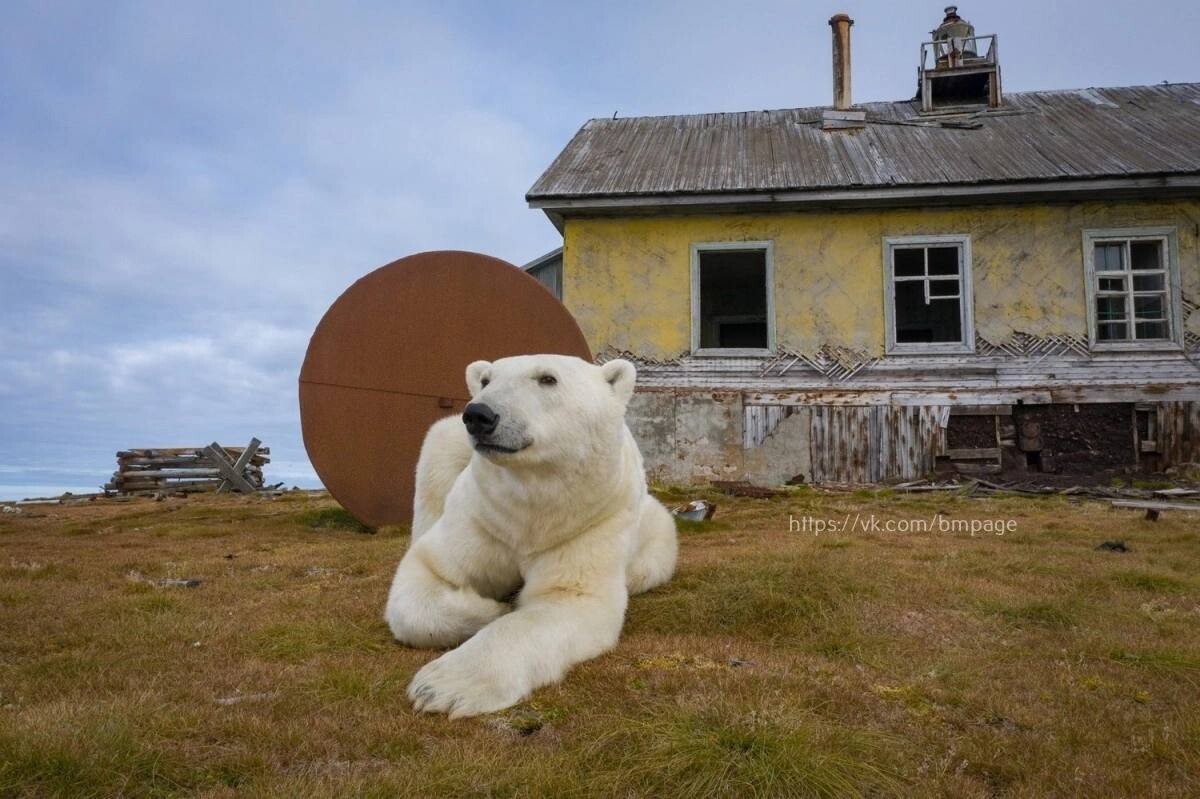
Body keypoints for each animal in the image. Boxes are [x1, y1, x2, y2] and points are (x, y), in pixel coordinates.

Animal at [384, 354, 678, 718]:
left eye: (547, 378)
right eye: (486, 379)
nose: (479, 415)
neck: (531, 510)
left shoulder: (589, 522)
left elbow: (567, 597)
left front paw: (443, 685)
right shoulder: (483, 516)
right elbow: (429, 571)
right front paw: (490, 608)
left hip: (654, 528)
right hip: (447, 447)